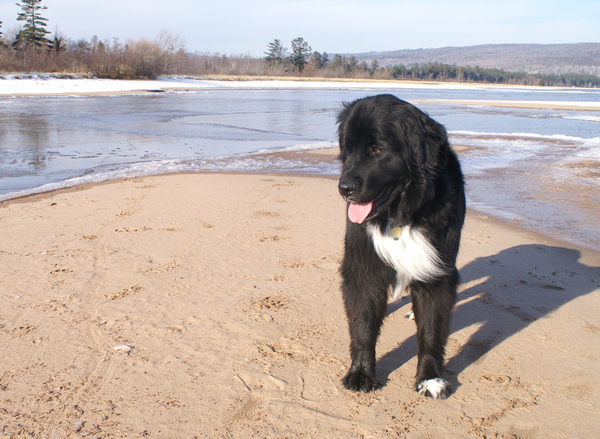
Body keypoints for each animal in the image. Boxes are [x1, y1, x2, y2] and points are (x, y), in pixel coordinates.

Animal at [338, 93, 464, 398]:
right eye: (347, 149)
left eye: (376, 149)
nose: (344, 188)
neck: (400, 214)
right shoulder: (363, 266)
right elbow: (363, 323)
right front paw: (360, 374)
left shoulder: (436, 269)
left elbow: (431, 329)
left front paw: (430, 378)